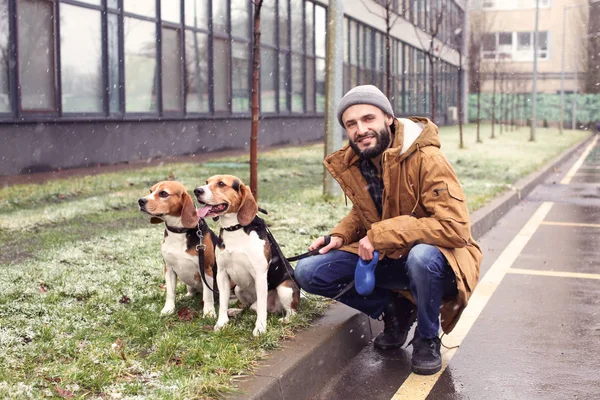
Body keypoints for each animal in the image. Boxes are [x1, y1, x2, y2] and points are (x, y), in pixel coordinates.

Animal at [193, 177, 298, 336]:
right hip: (238, 289)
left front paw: (260, 328)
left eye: (221, 184)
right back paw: (236, 311)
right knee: (249, 307)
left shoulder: (260, 275)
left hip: (285, 288)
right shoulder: (222, 274)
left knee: (290, 311)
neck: (234, 229)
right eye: (207, 182)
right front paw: (221, 323)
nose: (197, 191)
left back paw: (285, 319)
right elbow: (223, 303)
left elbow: (262, 306)